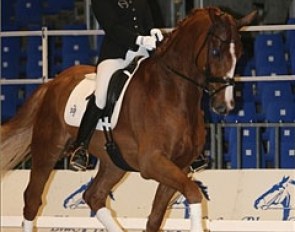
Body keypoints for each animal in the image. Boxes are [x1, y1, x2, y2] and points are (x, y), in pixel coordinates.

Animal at [1, 7, 256, 232]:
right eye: (215, 52)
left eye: (241, 54)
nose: (225, 106)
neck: (173, 92)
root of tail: (53, 82)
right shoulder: (152, 162)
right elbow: (193, 194)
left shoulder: (179, 166)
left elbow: (155, 218)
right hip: (47, 150)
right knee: (32, 199)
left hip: (114, 163)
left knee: (93, 196)